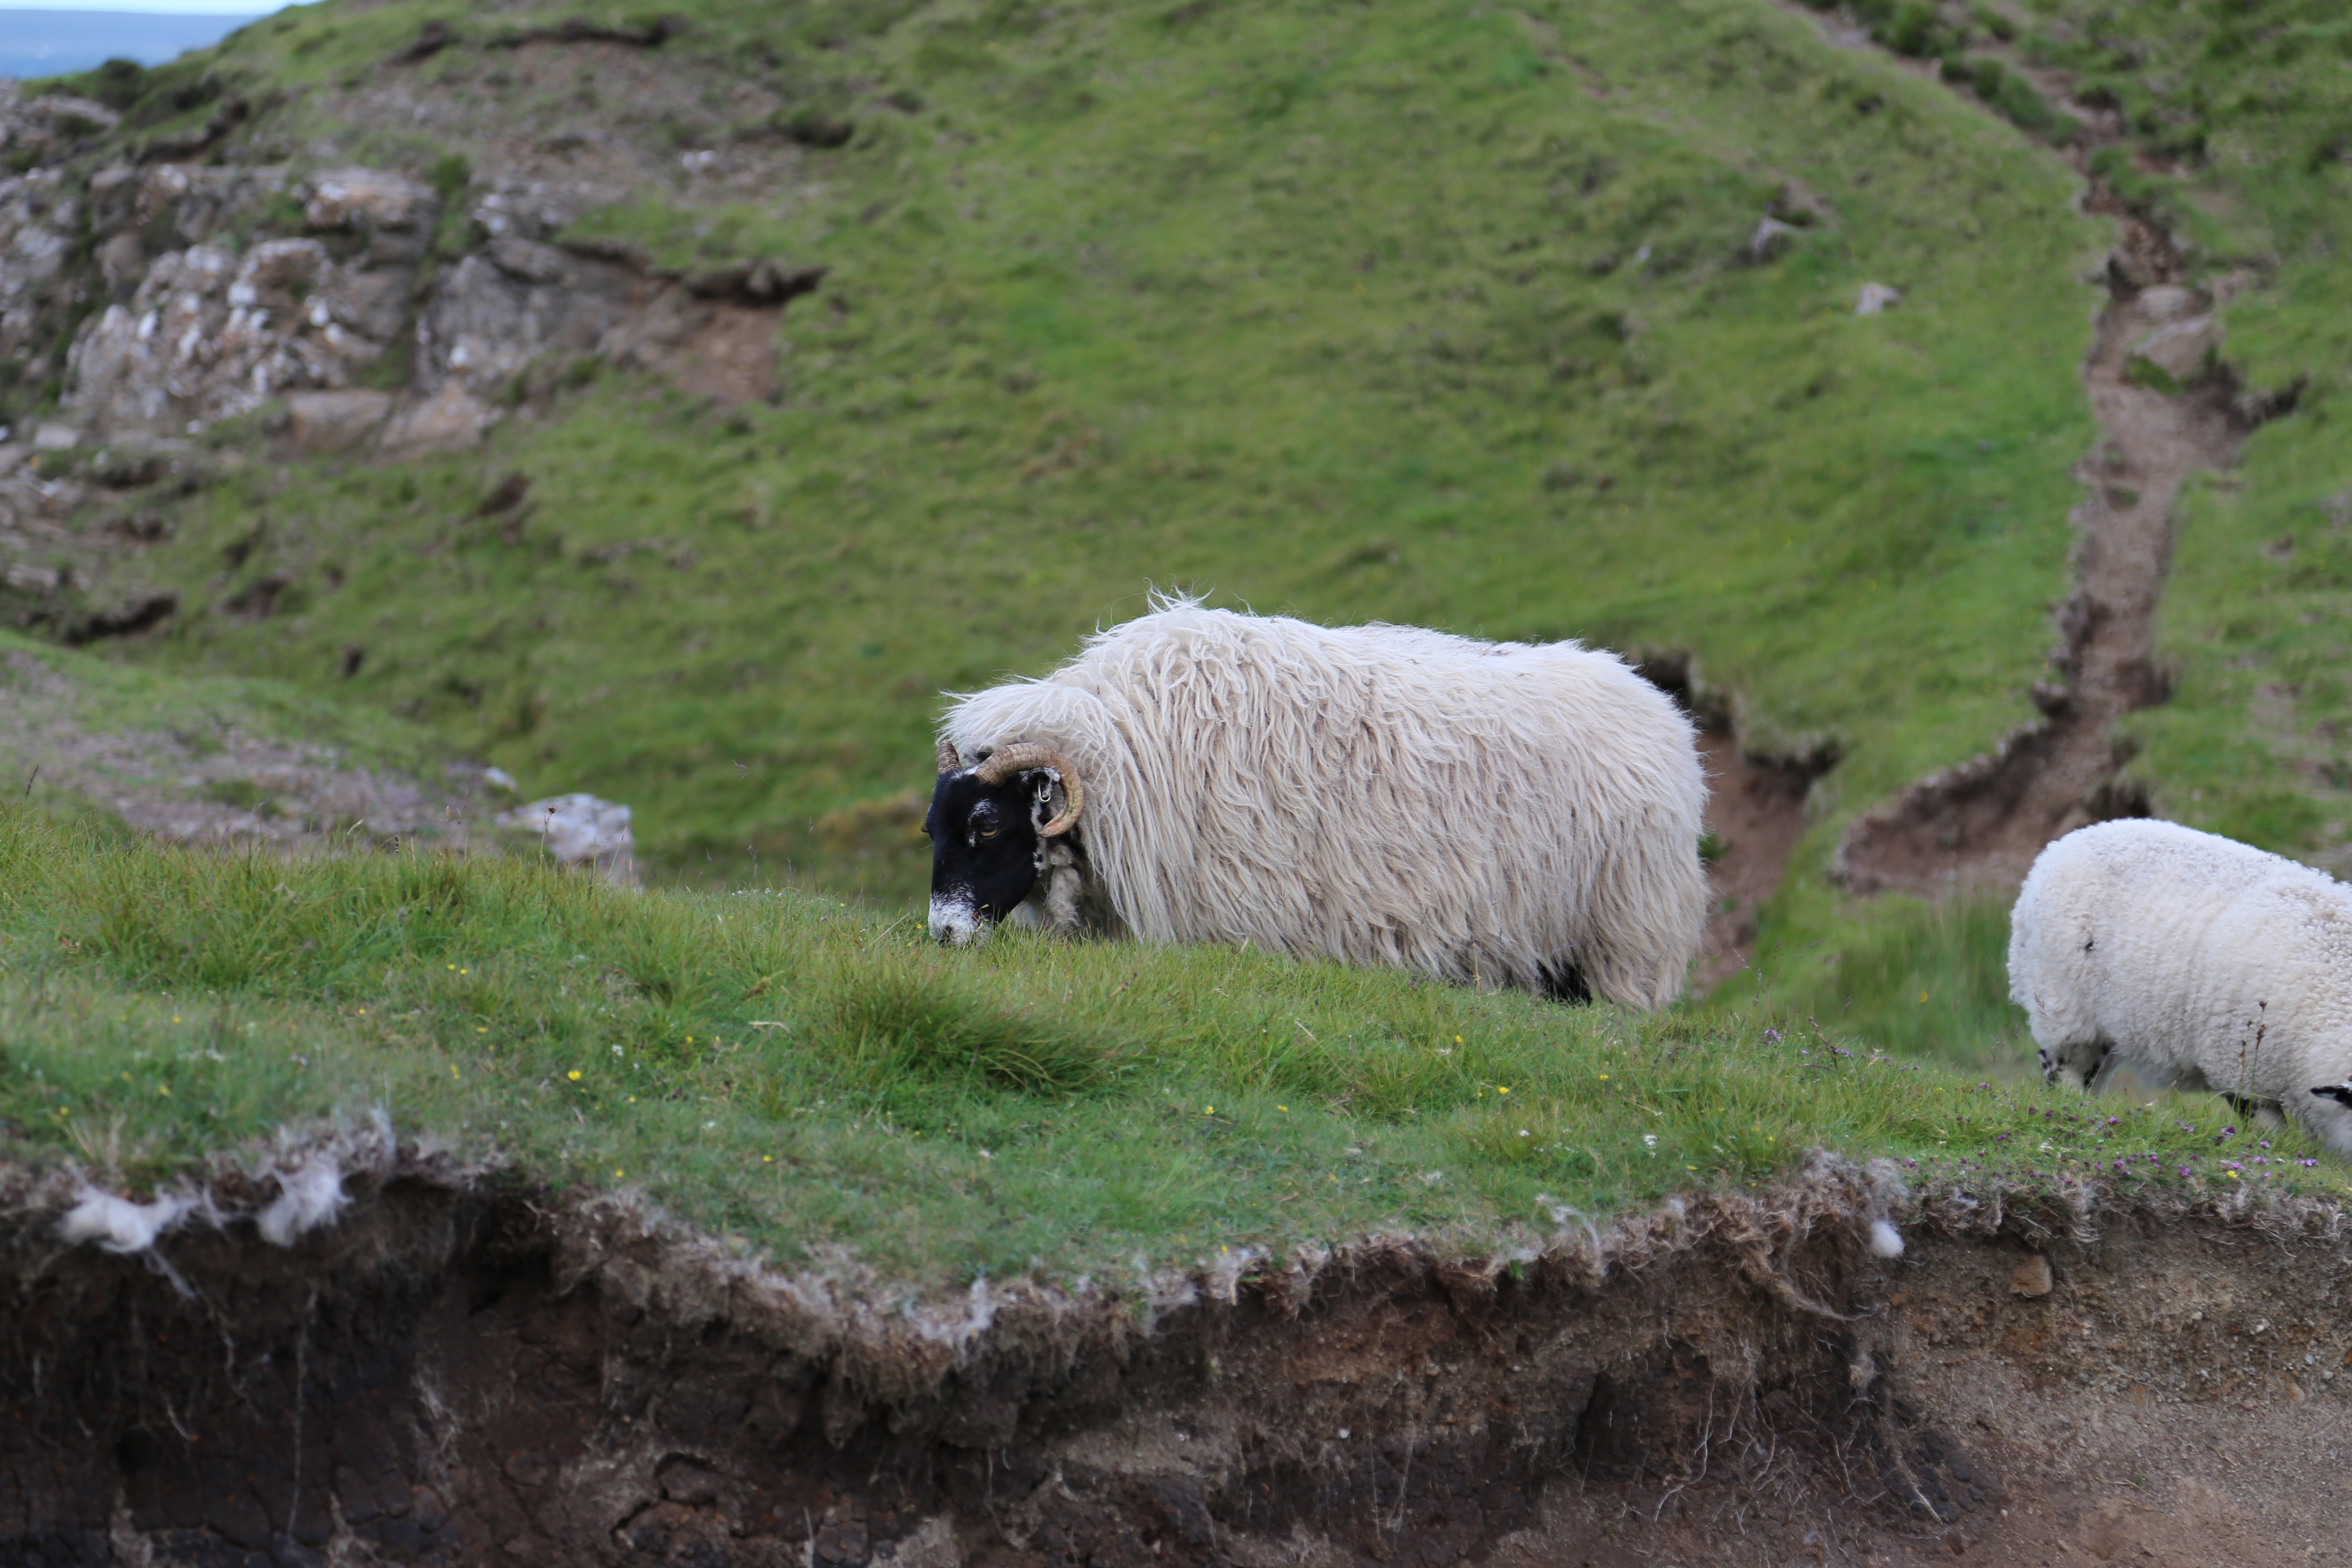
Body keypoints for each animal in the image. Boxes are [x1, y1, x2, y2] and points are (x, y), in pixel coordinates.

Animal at [917, 594, 1712, 1011]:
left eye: (986, 826)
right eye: (933, 830)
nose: (943, 937)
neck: (1130, 745)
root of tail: (1658, 707)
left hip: (1626, 934)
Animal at [2004, 818, 2352, 1161]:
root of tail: (2063, 844)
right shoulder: (2238, 1064)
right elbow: (2266, 1127)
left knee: (2095, 1076)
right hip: (2060, 1003)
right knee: (2063, 1068)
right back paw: (2068, 1109)